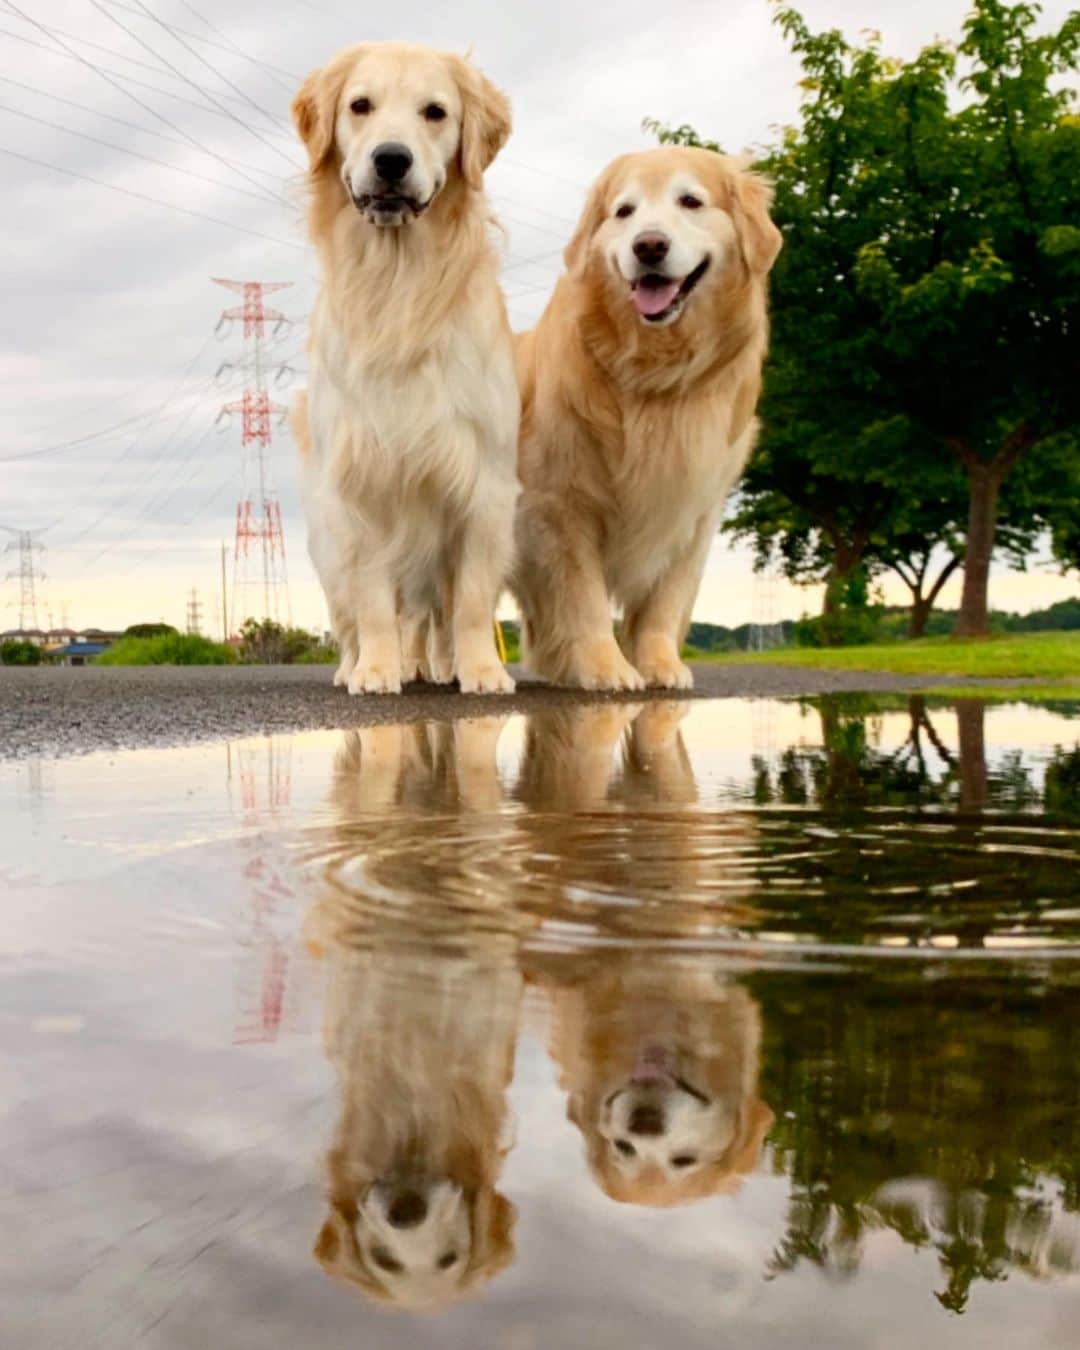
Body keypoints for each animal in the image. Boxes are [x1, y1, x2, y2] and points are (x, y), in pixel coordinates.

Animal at [291, 42, 518, 696]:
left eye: (435, 112)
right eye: (360, 105)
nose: (391, 159)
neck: (399, 286)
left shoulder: (483, 483)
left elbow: (471, 602)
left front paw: (482, 670)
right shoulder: (359, 484)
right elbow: (371, 601)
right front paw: (376, 670)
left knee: (433, 614)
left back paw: (437, 665)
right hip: (326, 541)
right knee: (352, 615)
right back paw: (356, 665)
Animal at [510, 149, 783, 691]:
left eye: (691, 201)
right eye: (624, 211)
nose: (649, 246)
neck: (656, 379)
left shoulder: (693, 513)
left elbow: (665, 602)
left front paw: (660, 665)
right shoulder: (562, 507)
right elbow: (585, 598)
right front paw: (605, 667)